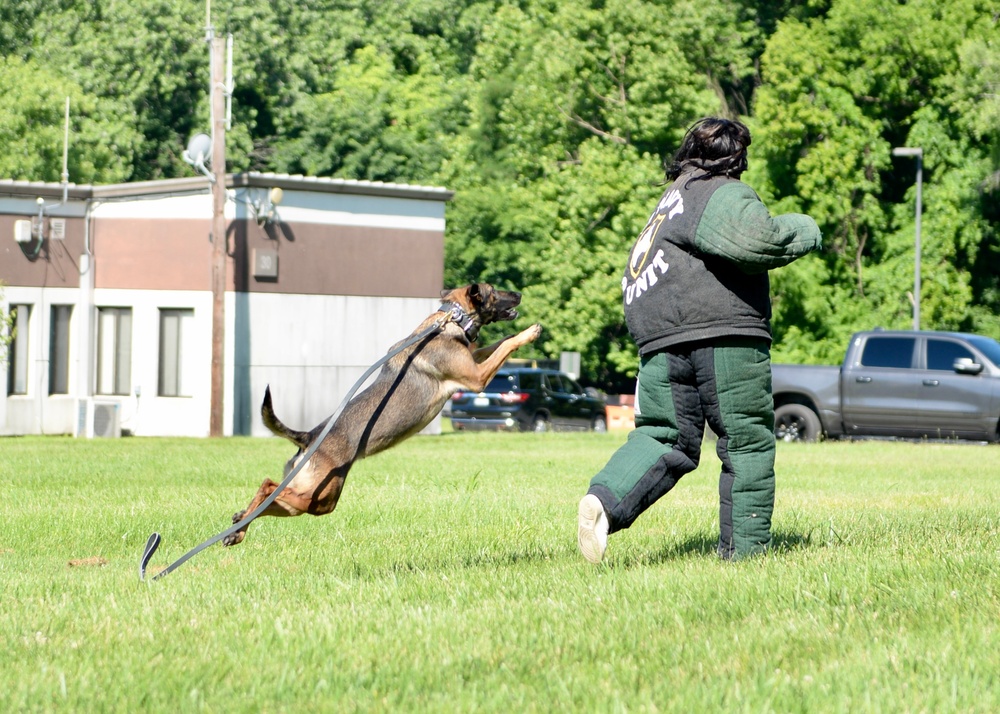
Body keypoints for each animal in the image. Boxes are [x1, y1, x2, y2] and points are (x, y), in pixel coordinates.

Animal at [223, 280, 544, 544]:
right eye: (495, 291)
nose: (519, 294)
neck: (450, 319)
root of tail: (309, 437)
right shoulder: (477, 378)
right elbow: (504, 345)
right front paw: (528, 332)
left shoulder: (474, 361)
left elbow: (492, 345)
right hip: (319, 495)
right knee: (268, 486)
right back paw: (241, 521)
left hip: (314, 497)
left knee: (273, 496)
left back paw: (237, 527)